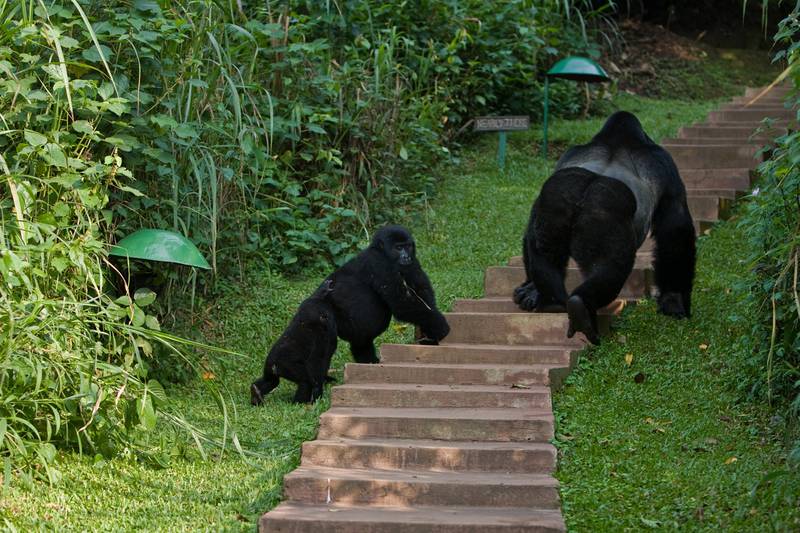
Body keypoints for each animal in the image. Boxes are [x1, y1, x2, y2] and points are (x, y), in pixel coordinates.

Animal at [324, 224, 450, 362]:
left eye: (407, 246)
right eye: (398, 248)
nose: (406, 257)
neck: (381, 252)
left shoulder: (412, 260)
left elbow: (422, 293)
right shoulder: (379, 263)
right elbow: (401, 304)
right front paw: (438, 325)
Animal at [516, 112, 696, 344]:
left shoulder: (567, 156)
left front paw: (530, 289)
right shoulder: (664, 163)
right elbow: (675, 232)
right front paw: (674, 299)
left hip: (553, 205)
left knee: (544, 254)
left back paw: (552, 302)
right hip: (602, 218)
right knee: (611, 268)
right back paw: (581, 306)